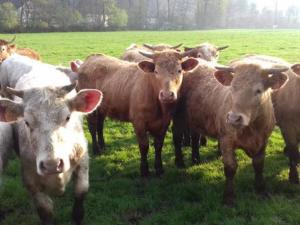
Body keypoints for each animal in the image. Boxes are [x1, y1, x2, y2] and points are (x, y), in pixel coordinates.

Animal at [0, 54, 102, 225]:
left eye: (68, 117)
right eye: (26, 122)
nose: (52, 165)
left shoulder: (83, 161)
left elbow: (80, 194)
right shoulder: (30, 180)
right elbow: (45, 211)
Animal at [172, 57, 290, 205]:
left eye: (258, 90)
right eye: (232, 88)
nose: (234, 118)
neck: (252, 128)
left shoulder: (263, 141)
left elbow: (259, 164)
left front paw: (260, 189)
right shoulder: (226, 140)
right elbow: (230, 167)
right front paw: (228, 197)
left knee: (195, 137)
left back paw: (196, 159)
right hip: (178, 116)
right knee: (177, 137)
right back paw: (179, 162)